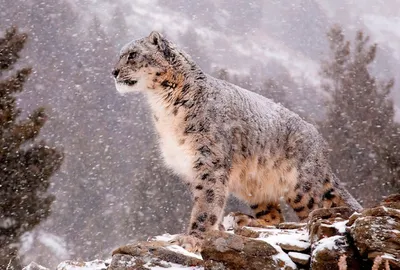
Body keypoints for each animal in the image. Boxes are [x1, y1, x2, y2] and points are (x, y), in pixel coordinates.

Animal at [111, 32, 360, 252]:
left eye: (132, 55)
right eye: (120, 54)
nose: (113, 71)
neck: (163, 108)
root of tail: (318, 141)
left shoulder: (210, 160)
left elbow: (207, 201)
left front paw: (193, 238)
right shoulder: (188, 165)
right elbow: (203, 198)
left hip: (302, 186)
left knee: (316, 208)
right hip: (256, 186)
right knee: (274, 215)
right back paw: (244, 220)